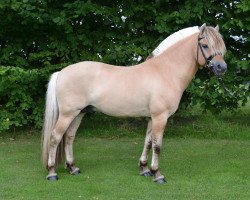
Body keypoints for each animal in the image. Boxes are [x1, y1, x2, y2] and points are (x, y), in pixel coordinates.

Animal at [40, 23, 227, 183]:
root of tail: (61, 72)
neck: (165, 72)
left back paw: (73, 168)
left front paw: (144, 169)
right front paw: (157, 174)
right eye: (205, 45)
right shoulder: (160, 117)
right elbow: (157, 145)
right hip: (68, 114)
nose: (221, 68)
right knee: (55, 137)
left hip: (79, 113)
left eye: (222, 47)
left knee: (69, 137)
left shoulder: (152, 117)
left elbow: (148, 142)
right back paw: (52, 172)